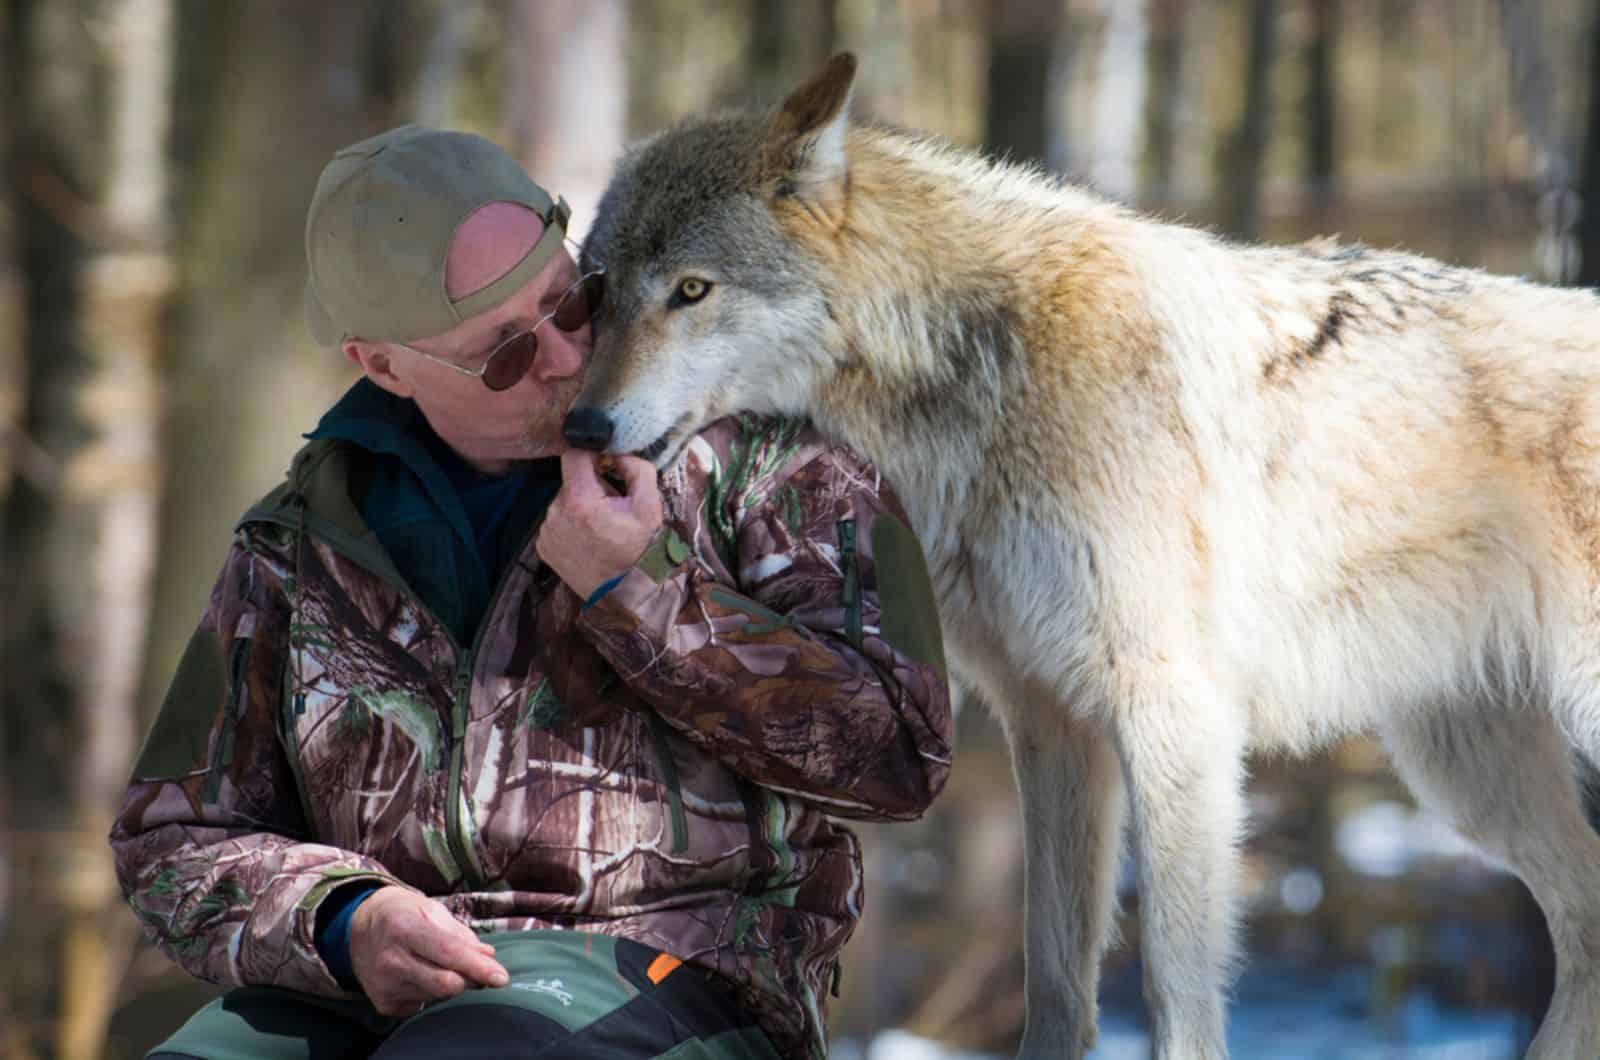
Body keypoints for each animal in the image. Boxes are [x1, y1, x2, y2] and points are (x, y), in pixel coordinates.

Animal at [569, 56, 1600, 1060]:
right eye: (600, 289)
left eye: (691, 290)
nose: (581, 425)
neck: (982, 368)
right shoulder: (1050, 717)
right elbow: (1058, 985)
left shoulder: (1172, 712)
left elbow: (1175, 997)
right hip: (1465, 774)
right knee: (1586, 928)